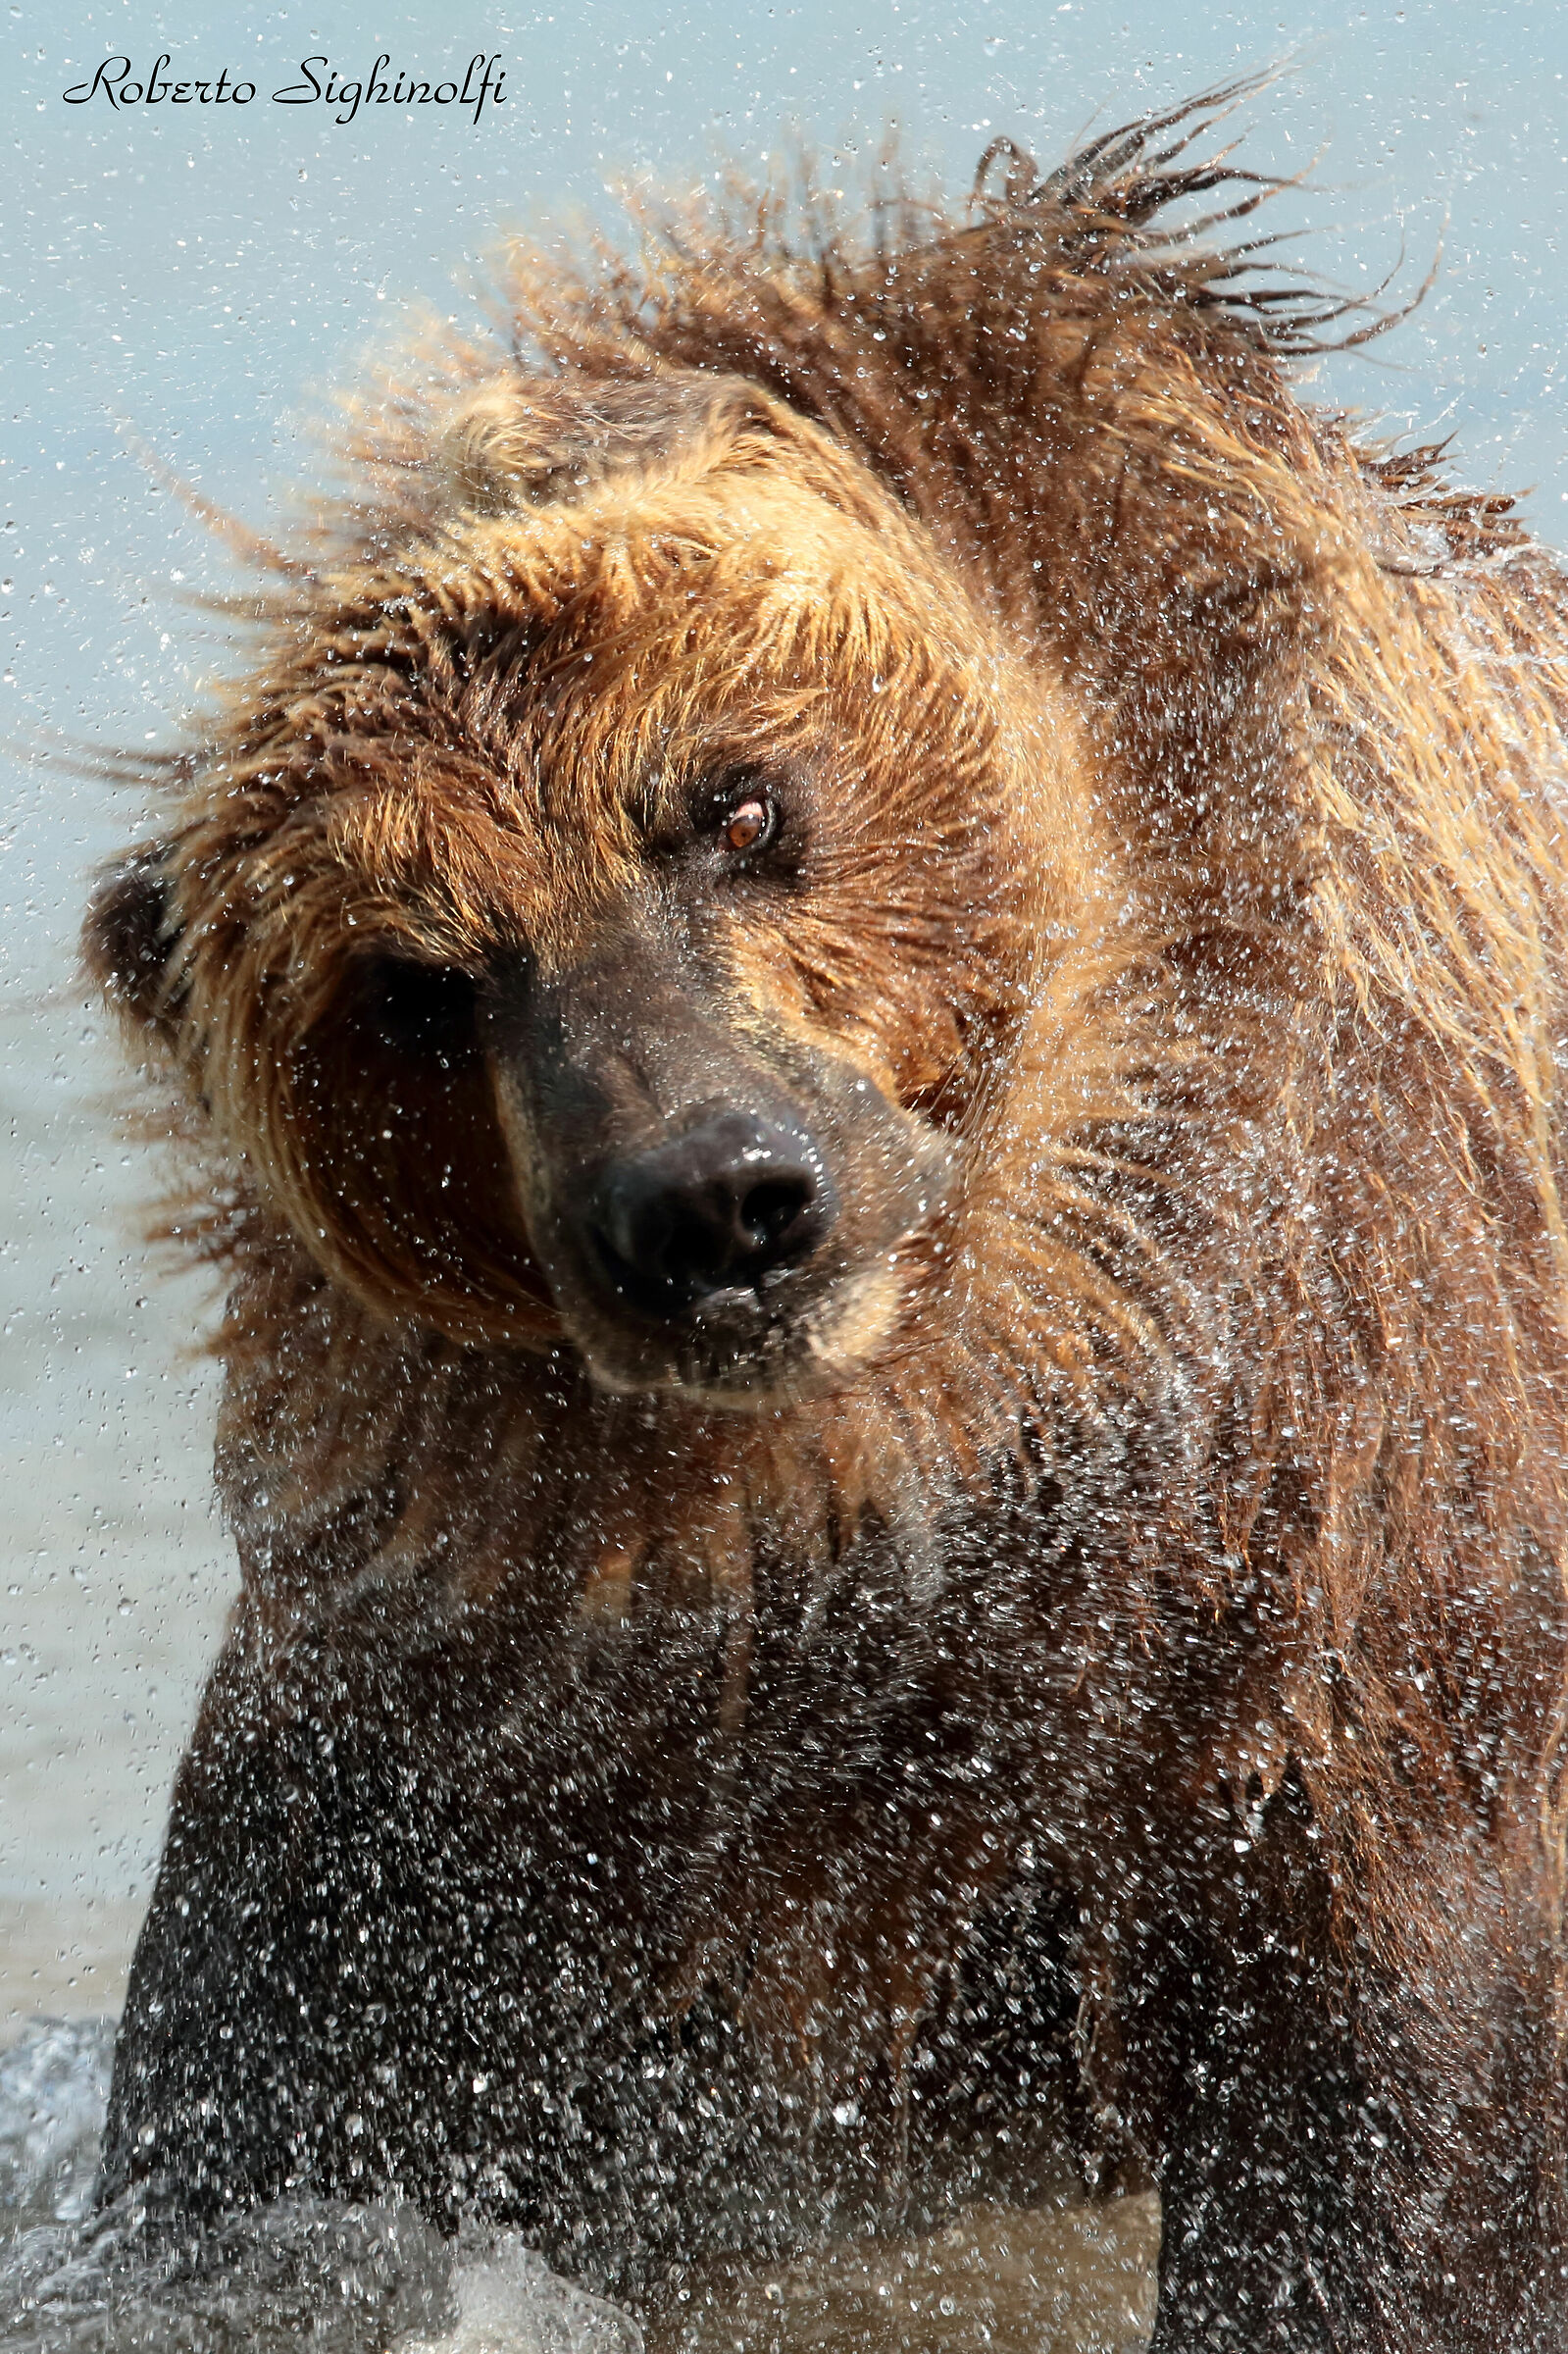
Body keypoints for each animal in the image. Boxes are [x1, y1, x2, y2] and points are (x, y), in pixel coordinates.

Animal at [84, 90, 1568, 2350]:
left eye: (735, 802)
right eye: (410, 984)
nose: (713, 1203)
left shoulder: (1345, 1536)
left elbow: (1379, 2127)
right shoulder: (452, 1713)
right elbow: (261, 2115)